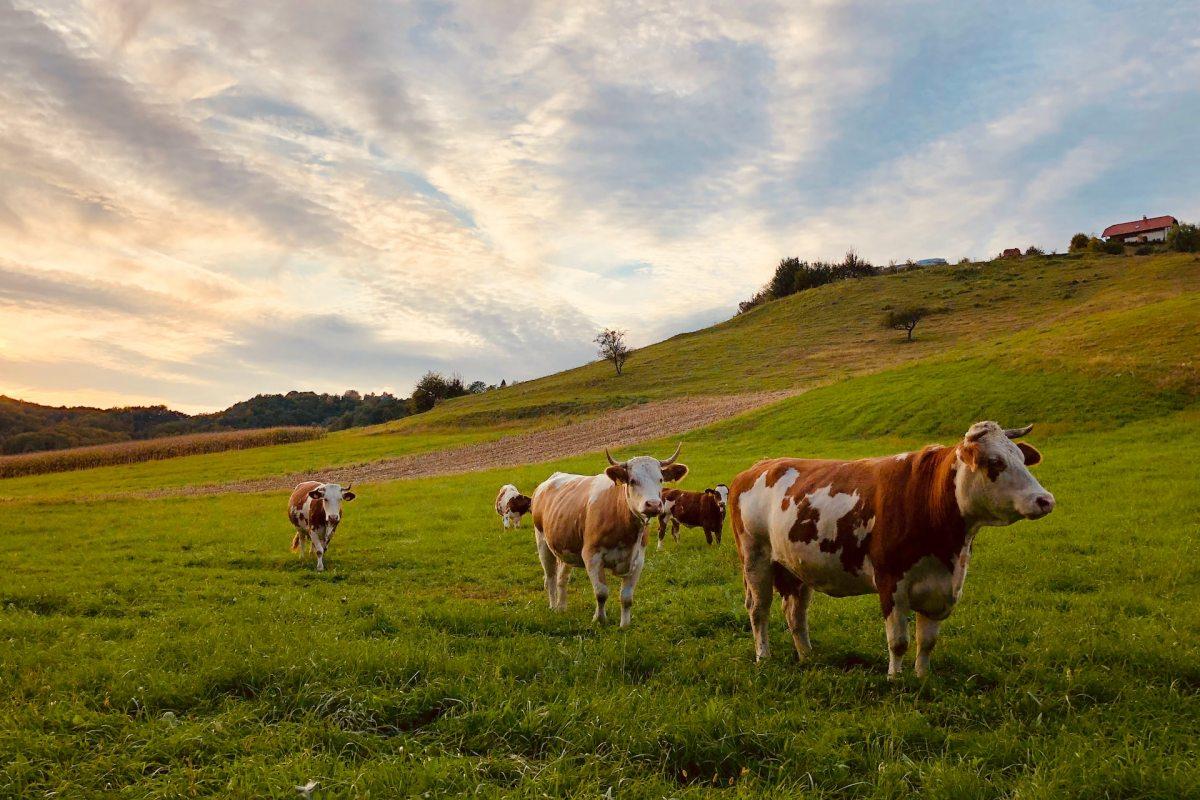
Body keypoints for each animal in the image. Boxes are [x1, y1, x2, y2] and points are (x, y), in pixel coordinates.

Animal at [532, 443, 691, 623]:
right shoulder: (591, 556)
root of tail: (553, 477)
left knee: (562, 578)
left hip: (566, 546)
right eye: (632, 480)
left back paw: (561, 607)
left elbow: (627, 598)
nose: (653, 505)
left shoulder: (638, 560)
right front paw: (600, 620)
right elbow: (601, 593)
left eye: (661, 479)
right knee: (550, 577)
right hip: (542, 542)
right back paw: (553, 606)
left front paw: (625, 625)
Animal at [724, 422, 1056, 681]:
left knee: (795, 613)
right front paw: (895, 679)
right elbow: (898, 641)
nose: (1045, 500)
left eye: (1021, 459)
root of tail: (757, 467)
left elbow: (927, 641)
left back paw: (807, 656)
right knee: (759, 609)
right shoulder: (891, 583)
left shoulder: (941, 588)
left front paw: (922, 677)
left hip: (796, 565)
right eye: (994, 462)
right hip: (755, 559)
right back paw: (763, 657)